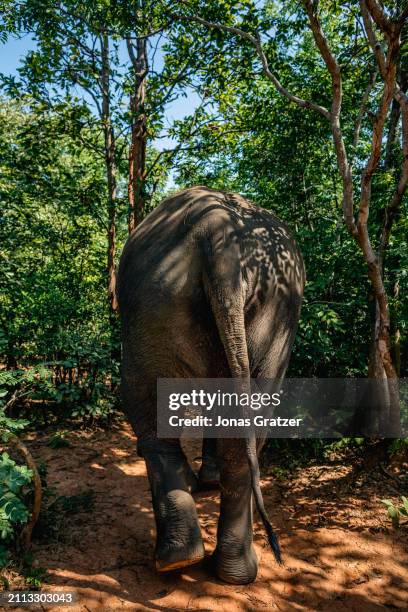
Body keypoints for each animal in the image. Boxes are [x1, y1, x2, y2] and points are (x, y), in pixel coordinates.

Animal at [116, 185, 304, 584]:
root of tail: (215, 227)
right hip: (268, 305)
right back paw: (224, 569)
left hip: (162, 297)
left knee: (146, 401)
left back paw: (184, 560)